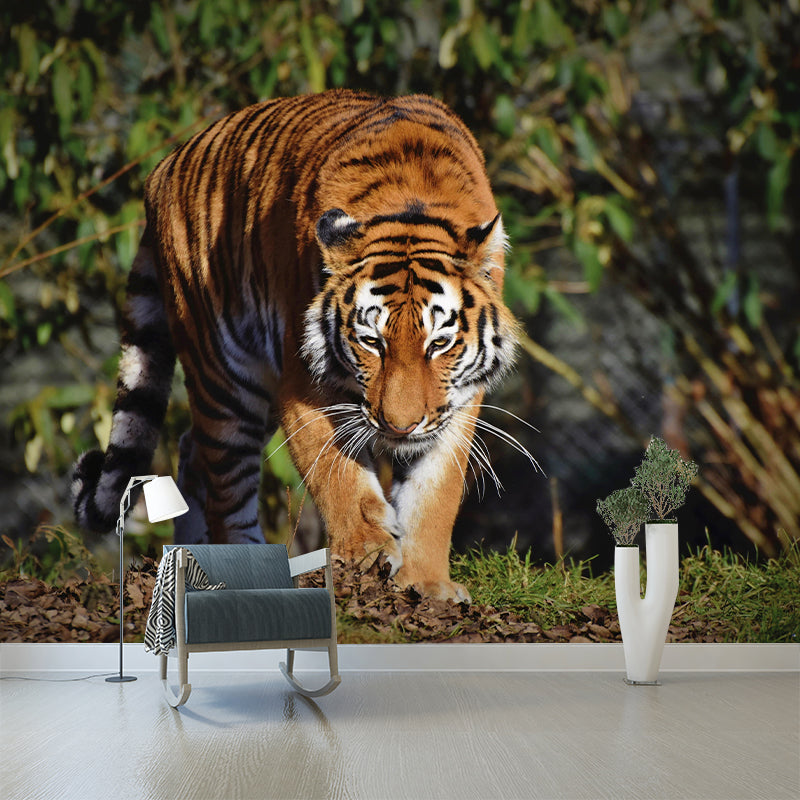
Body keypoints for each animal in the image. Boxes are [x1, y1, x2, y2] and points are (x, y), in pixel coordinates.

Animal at [72, 89, 526, 602]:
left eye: (440, 343)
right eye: (372, 342)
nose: (400, 426)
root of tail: (162, 167)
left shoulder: (457, 402)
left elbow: (435, 494)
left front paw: (428, 584)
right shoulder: (302, 383)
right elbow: (337, 474)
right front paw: (367, 552)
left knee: (190, 449)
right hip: (225, 376)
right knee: (224, 479)